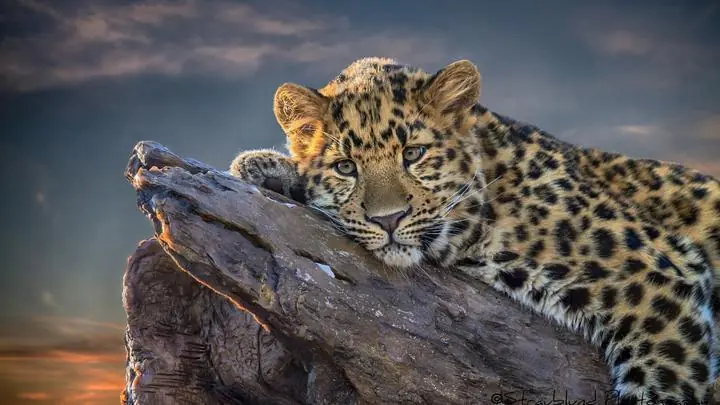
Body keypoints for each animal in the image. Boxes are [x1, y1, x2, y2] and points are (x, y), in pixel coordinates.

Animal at [230, 57, 720, 404]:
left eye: (414, 153)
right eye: (345, 167)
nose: (388, 219)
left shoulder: (660, 279)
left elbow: (665, 382)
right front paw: (266, 167)